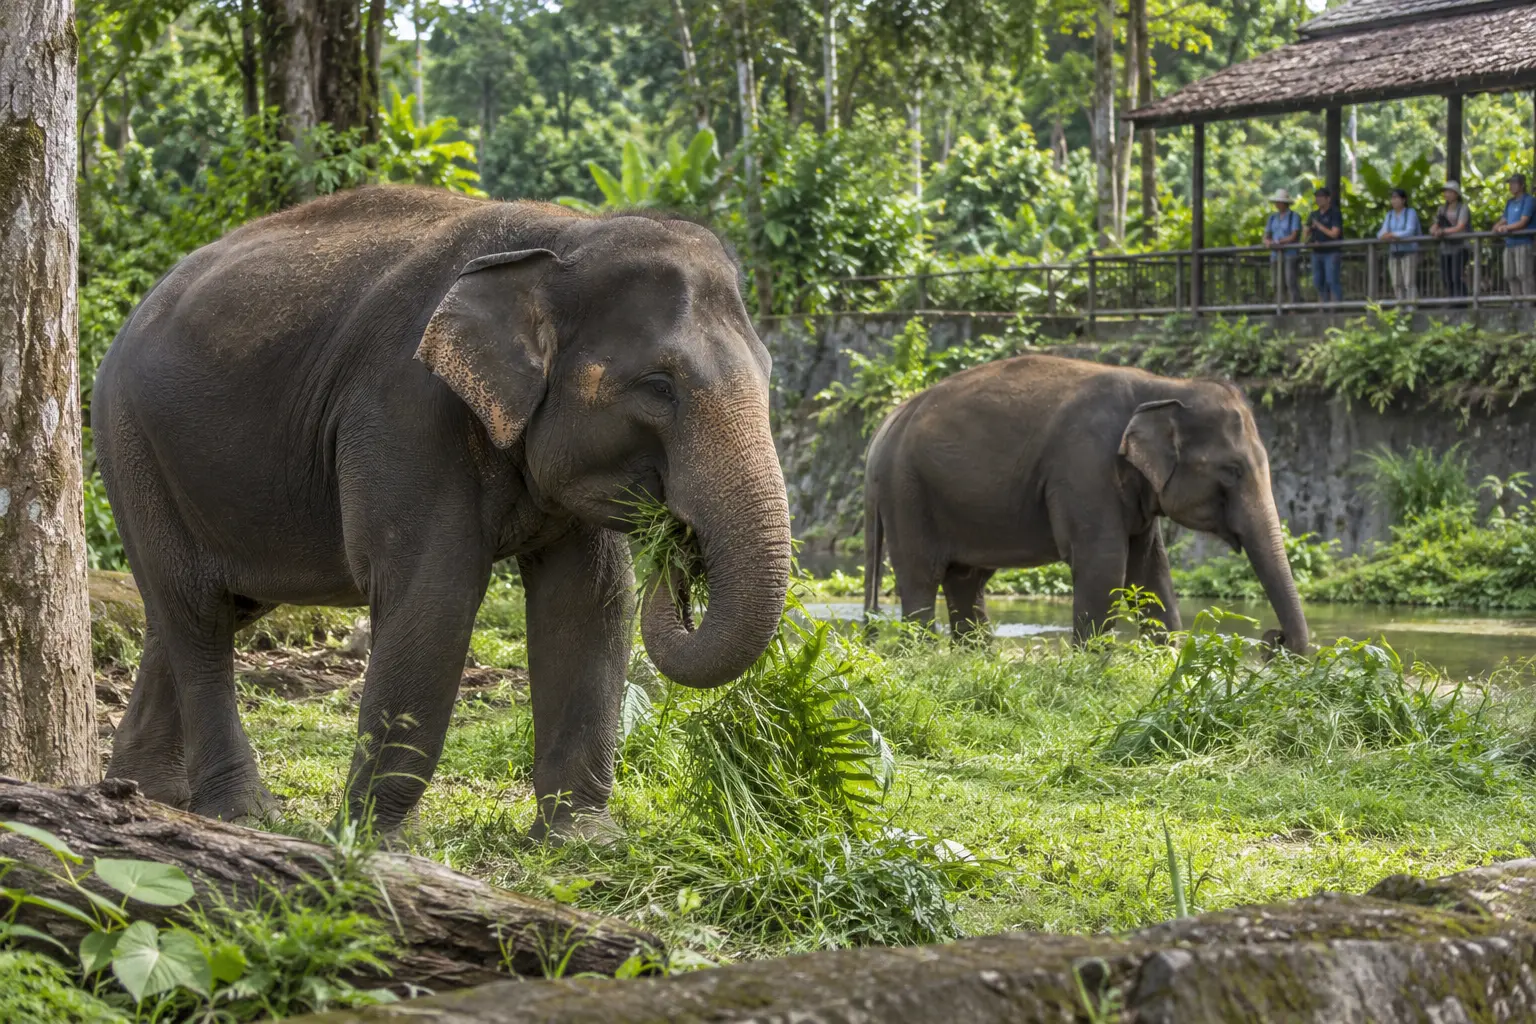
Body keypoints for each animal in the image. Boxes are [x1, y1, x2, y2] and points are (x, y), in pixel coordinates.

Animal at [91, 186, 791, 839]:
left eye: (769, 372)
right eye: (659, 386)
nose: (681, 548)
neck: (568, 237)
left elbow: (590, 599)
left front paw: (585, 842)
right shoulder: (404, 409)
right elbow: (435, 595)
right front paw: (373, 843)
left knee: (200, 610)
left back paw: (144, 794)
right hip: (132, 447)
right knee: (196, 613)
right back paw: (242, 815)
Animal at [862, 354, 1309, 654]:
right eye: (1233, 470)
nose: (1274, 640)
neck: (1163, 386)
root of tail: (885, 426)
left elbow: (1151, 572)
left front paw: (1165, 663)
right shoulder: (1085, 468)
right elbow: (1105, 565)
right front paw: (1093, 666)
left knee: (965, 579)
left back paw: (976, 659)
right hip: (907, 494)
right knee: (921, 578)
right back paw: (922, 657)